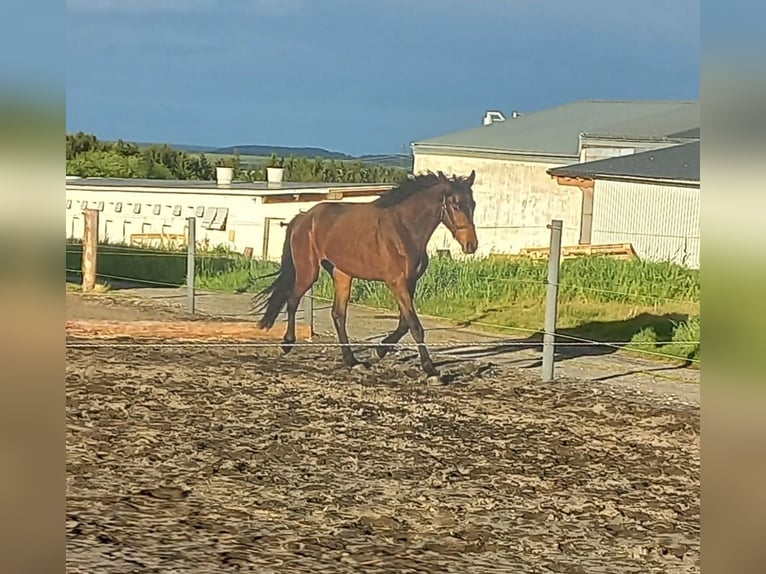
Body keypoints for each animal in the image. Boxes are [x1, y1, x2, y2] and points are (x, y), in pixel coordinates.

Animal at [252, 170, 478, 378]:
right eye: (456, 205)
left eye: (473, 204)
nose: (471, 245)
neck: (404, 229)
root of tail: (303, 217)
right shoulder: (397, 282)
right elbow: (415, 326)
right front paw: (430, 370)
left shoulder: (410, 282)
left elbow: (404, 323)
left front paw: (379, 351)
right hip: (308, 270)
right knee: (292, 300)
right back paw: (287, 343)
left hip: (342, 274)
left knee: (338, 314)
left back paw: (352, 361)